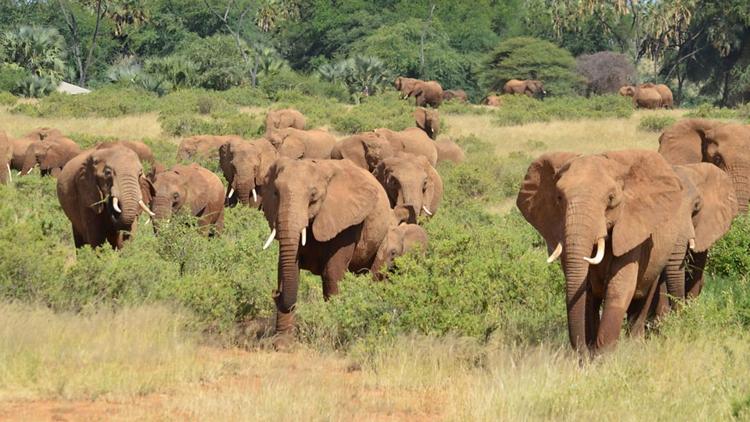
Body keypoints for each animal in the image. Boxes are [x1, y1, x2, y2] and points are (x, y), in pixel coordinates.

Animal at [262, 157, 396, 344]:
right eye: (275, 193)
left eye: (313, 196)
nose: (275, 293)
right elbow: (286, 269)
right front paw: (282, 344)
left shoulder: (347, 222)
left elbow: (332, 273)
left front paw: (331, 337)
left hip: (385, 236)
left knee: (376, 275)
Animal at [516, 149, 700, 352]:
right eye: (559, 198)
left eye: (611, 199)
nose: (582, 351)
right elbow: (586, 293)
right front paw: (590, 355)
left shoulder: (632, 229)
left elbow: (619, 287)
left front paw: (603, 355)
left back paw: (634, 345)